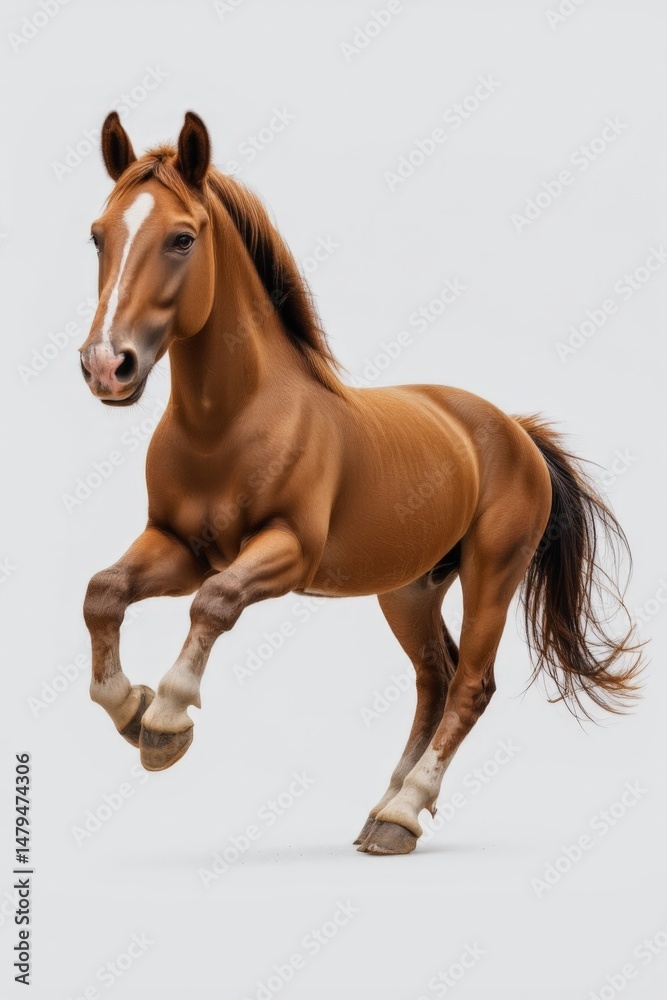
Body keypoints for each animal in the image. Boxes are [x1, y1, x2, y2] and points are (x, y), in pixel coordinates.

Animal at [79, 111, 643, 856]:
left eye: (181, 238)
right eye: (98, 235)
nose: (106, 366)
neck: (229, 422)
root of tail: (515, 429)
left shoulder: (287, 552)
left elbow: (214, 603)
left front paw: (165, 723)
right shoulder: (176, 544)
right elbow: (104, 593)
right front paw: (129, 709)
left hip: (493, 572)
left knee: (470, 685)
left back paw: (403, 812)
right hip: (409, 589)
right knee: (434, 677)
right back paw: (383, 812)